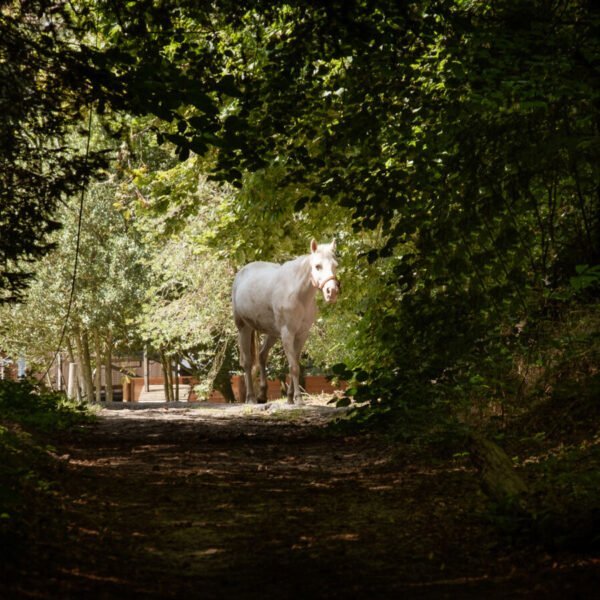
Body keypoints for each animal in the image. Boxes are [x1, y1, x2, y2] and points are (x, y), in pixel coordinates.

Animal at [232, 238, 340, 404]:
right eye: (318, 266)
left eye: (336, 265)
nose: (332, 292)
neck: (298, 294)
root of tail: (241, 274)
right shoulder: (288, 333)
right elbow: (294, 367)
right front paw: (298, 399)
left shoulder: (301, 334)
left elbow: (295, 364)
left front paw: (290, 398)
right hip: (244, 328)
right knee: (247, 362)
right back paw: (251, 398)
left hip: (272, 333)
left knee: (262, 356)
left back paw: (262, 395)